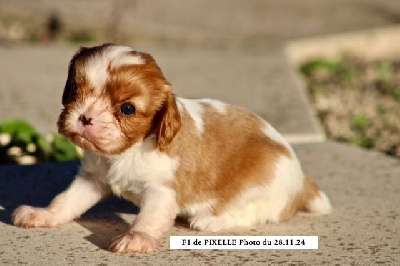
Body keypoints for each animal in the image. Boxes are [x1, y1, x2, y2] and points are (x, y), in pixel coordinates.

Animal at [12, 43, 332, 254]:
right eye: (74, 89)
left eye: (127, 109)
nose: (85, 118)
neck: (127, 152)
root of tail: (303, 180)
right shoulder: (93, 178)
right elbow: (66, 200)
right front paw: (43, 214)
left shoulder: (161, 190)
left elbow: (149, 217)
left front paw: (136, 238)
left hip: (263, 182)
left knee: (251, 212)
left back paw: (210, 220)